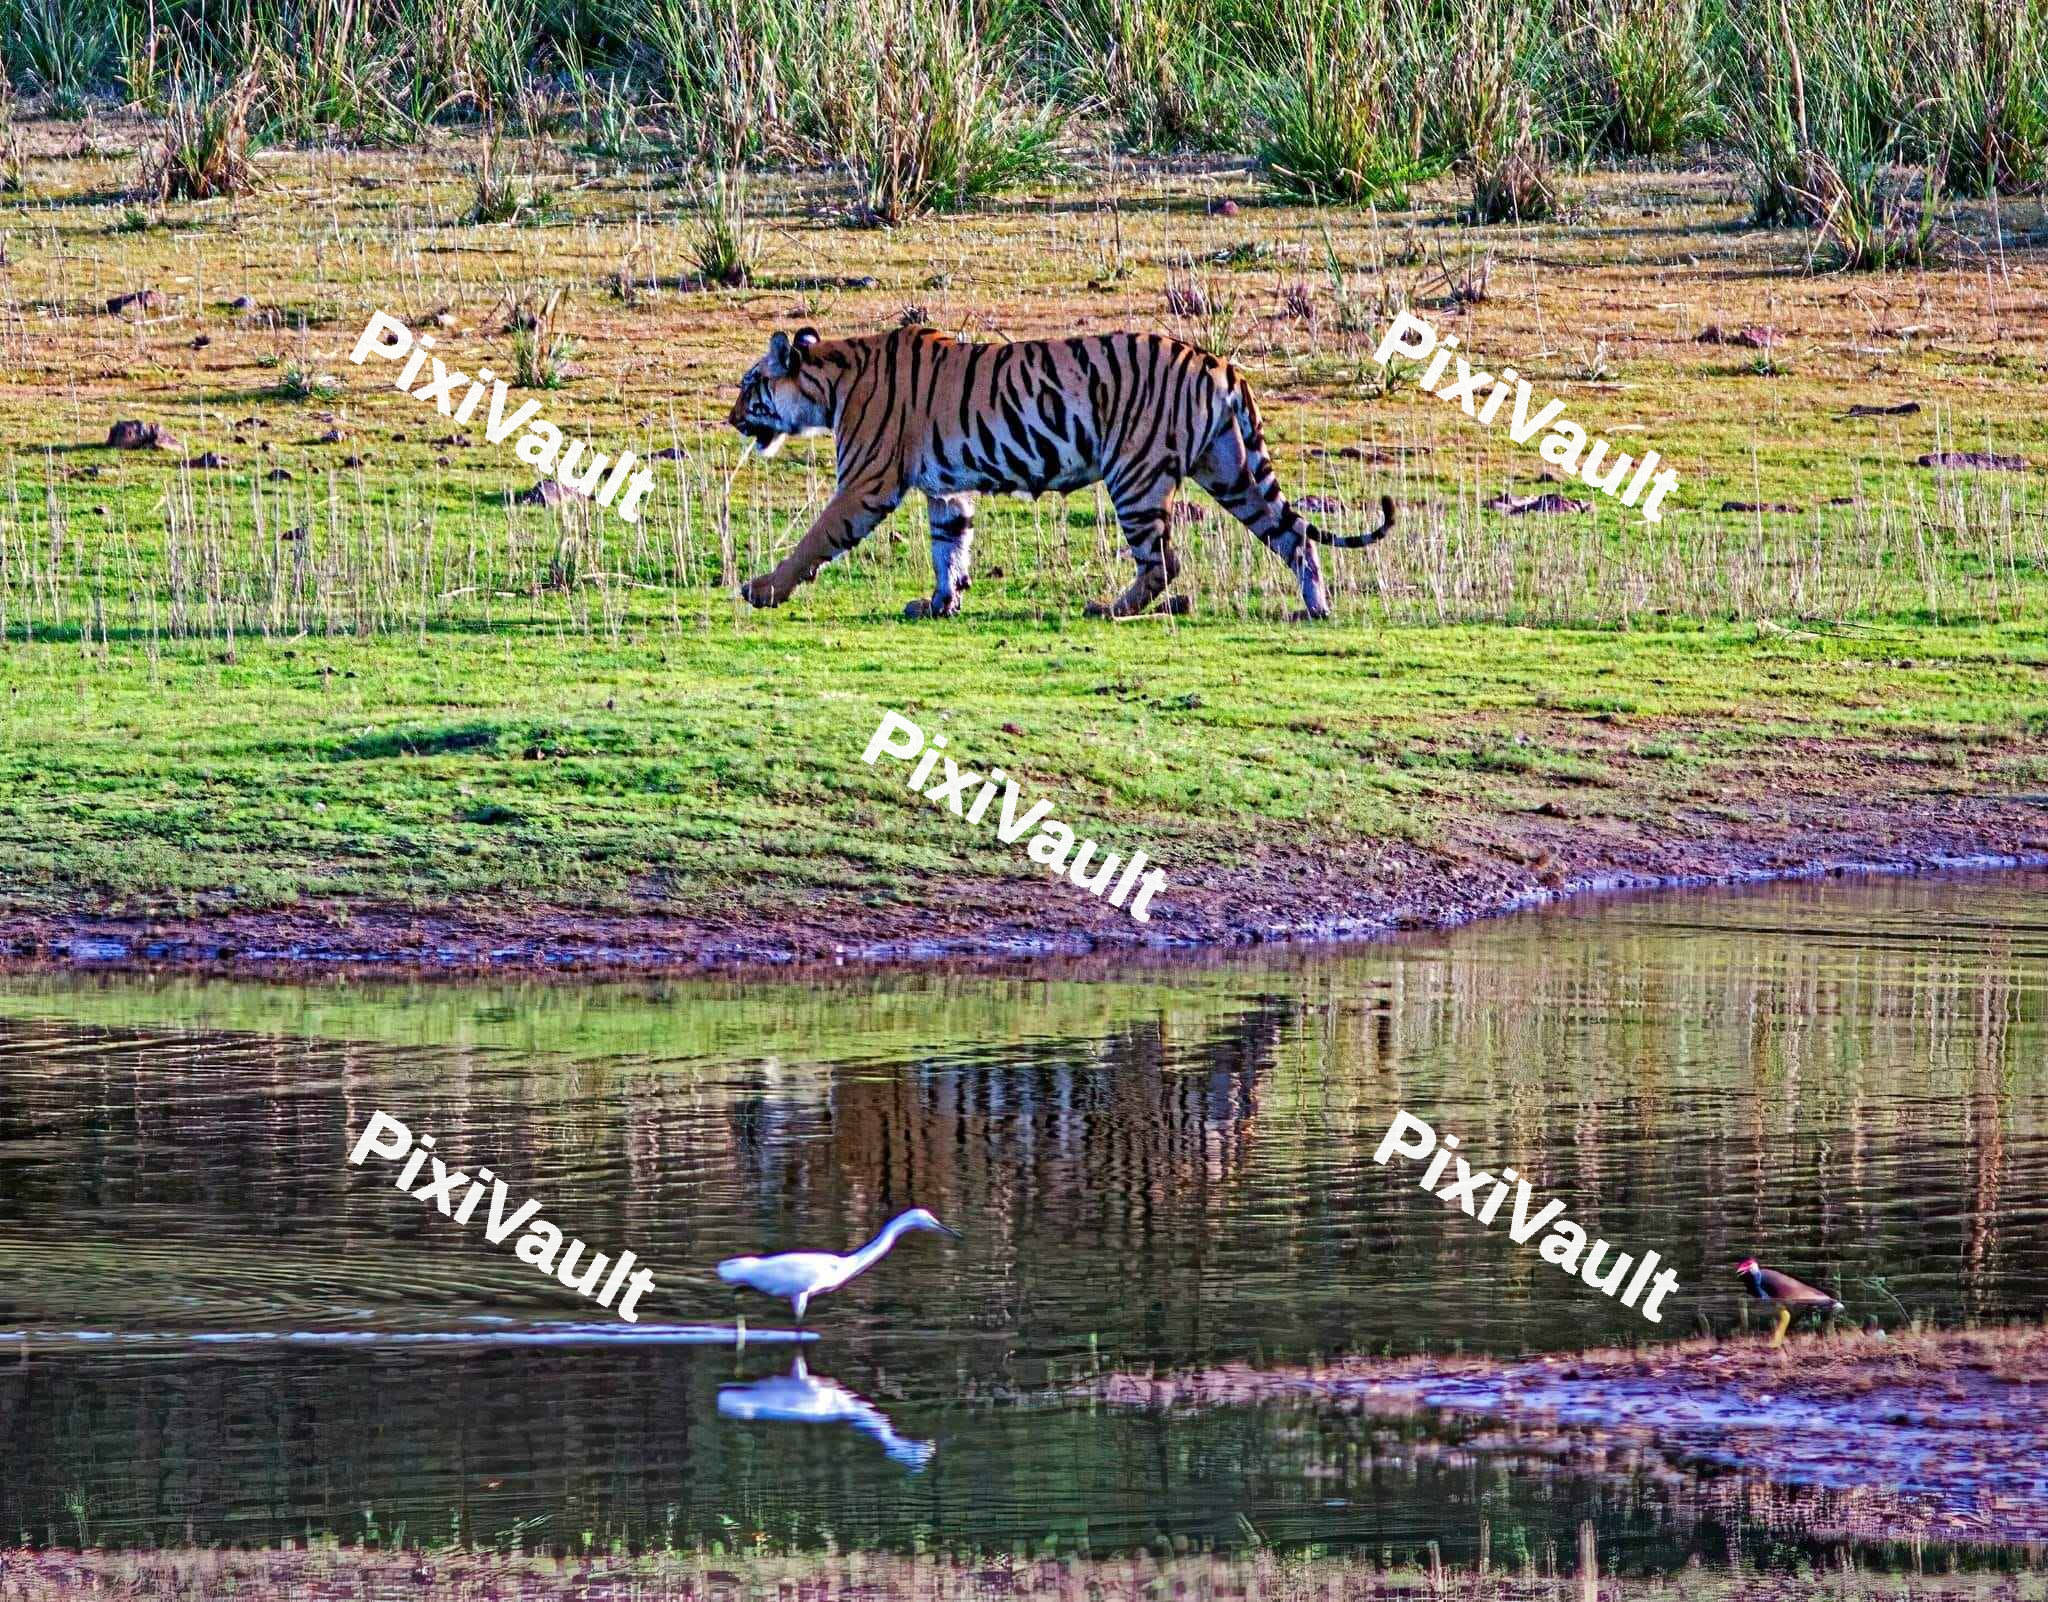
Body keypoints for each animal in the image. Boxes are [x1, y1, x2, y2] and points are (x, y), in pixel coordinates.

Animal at [727, 324, 1395, 621]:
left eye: (748, 385)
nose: (731, 419)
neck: (828, 381)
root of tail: (1217, 362)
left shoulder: (867, 483)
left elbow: (815, 538)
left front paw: (762, 590)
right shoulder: (947, 490)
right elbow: (950, 547)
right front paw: (941, 602)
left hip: (1135, 474)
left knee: (1164, 561)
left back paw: (1110, 608)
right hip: (1230, 470)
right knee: (1294, 533)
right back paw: (1315, 608)